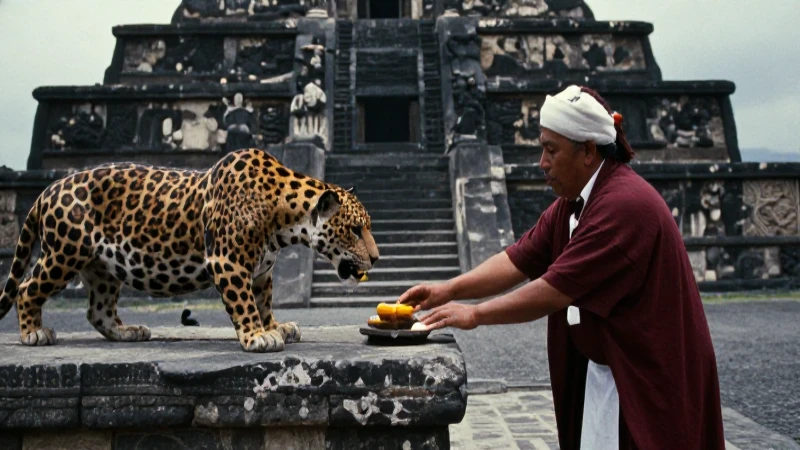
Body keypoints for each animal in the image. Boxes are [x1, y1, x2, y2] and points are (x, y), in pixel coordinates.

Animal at [0, 148, 379, 352]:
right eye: (355, 229)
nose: (376, 258)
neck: (284, 217)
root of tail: (47, 190)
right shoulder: (228, 262)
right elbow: (245, 304)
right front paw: (258, 336)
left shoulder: (263, 271)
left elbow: (263, 303)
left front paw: (276, 327)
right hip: (64, 252)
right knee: (26, 287)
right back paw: (34, 333)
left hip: (104, 266)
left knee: (98, 310)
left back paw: (128, 332)